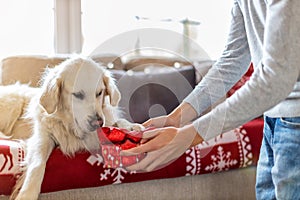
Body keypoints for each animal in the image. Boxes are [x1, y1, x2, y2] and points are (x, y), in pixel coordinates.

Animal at [0, 56, 142, 200]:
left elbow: (118, 122)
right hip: (13, 102)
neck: (71, 127)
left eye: (99, 93)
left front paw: (131, 126)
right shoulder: (42, 137)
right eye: (78, 95)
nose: (98, 123)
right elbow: (37, 163)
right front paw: (27, 193)